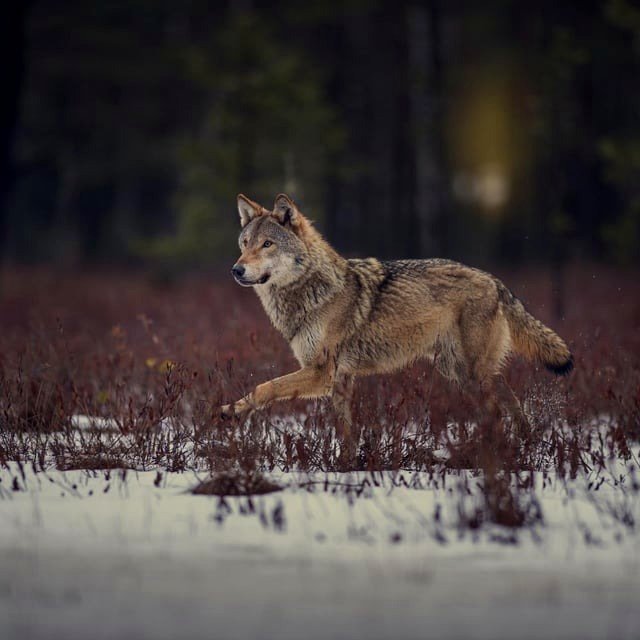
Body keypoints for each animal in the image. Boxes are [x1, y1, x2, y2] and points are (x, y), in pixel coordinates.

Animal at [220, 193, 573, 434]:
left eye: (267, 244)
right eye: (245, 243)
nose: (236, 270)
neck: (312, 290)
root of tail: (495, 281)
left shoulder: (322, 373)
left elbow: (264, 387)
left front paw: (231, 411)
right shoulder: (340, 380)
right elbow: (345, 432)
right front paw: (347, 466)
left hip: (470, 374)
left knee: (497, 413)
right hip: (462, 372)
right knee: (511, 405)